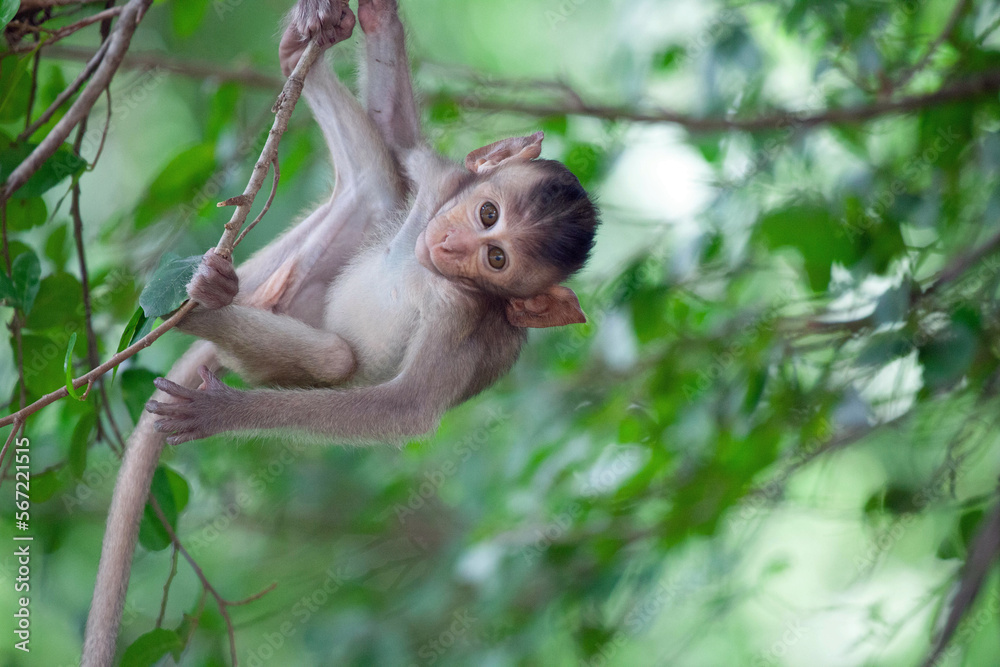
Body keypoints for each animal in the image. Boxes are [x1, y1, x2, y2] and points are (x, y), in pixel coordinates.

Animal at [82, 1, 597, 663]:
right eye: (488, 215)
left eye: (497, 260)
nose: (452, 245)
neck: (432, 267)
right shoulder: (440, 181)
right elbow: (400, 144)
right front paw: (374, 21)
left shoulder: (461, 320)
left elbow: (406, 409)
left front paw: (223, 414)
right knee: (377, 180)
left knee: (331, 358)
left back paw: (206, 311)